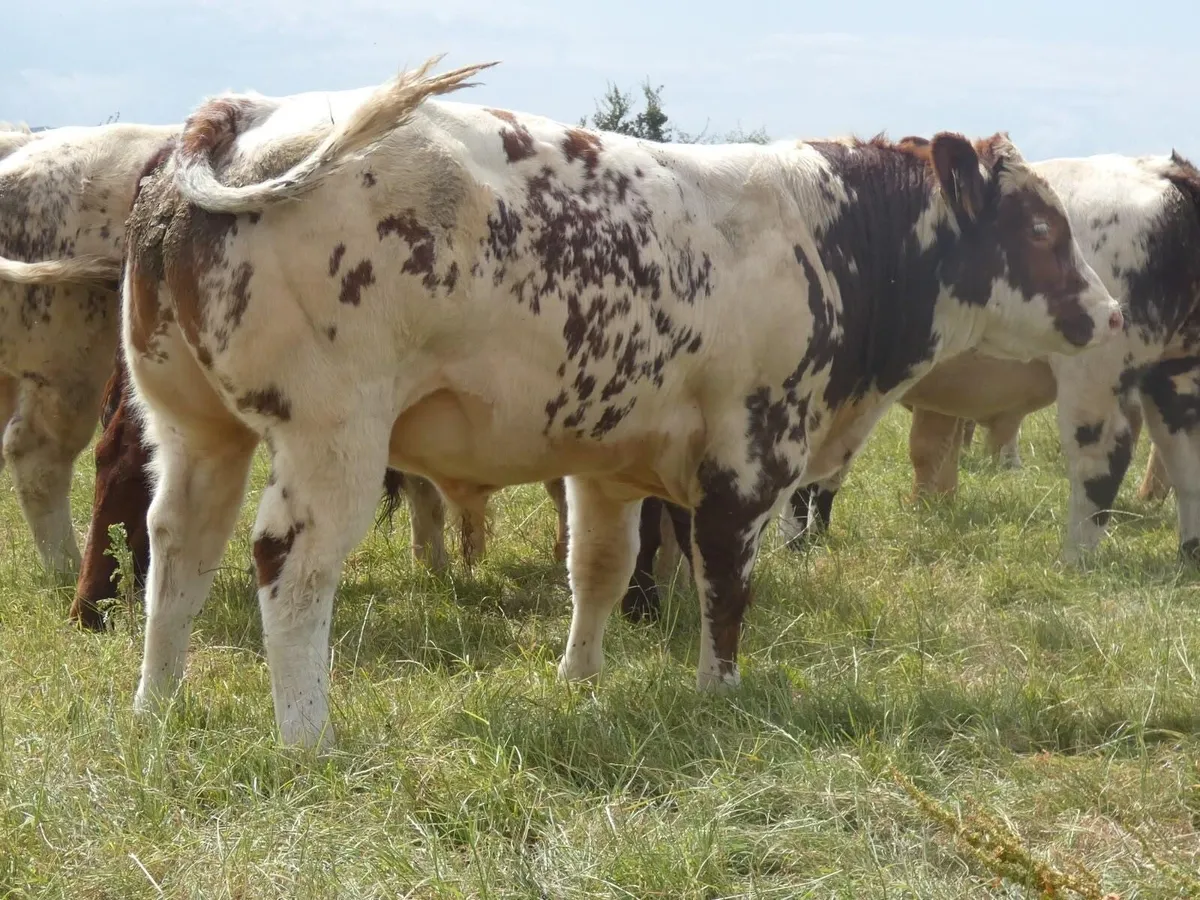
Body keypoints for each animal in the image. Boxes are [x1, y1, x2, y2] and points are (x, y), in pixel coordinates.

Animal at [120, 56, 1121, 748]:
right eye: (1041, 228)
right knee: (290, 566)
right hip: (334, 436)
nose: (1109, 312)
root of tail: (243, 111)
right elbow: (727, 586)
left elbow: (598, 571)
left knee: (178, 550)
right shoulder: (749, 460)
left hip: (193, 428)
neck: (824, 236)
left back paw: (155, 706)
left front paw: (579, 679)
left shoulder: (607, 467)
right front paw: (720, 694)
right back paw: (307, 737)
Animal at [776, 150, 1200, 561]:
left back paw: (1076, 559)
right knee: (1185, 458)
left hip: (1095, 375)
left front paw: (794, 546)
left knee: (1101, 458)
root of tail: (1165, 169)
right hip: (1177, 374)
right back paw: (1189, 551)